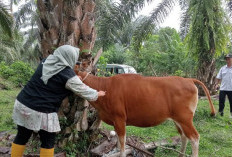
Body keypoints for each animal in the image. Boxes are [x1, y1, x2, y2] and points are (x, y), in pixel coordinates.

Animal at [75, 71, 215, 157]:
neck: (106, 87)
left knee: (195, 137)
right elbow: (118, 141)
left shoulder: (120, 118)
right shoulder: (116, 121)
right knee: (184, 136)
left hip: (185, 118)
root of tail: (188, 79)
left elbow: (122, 142)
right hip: (178, 120)